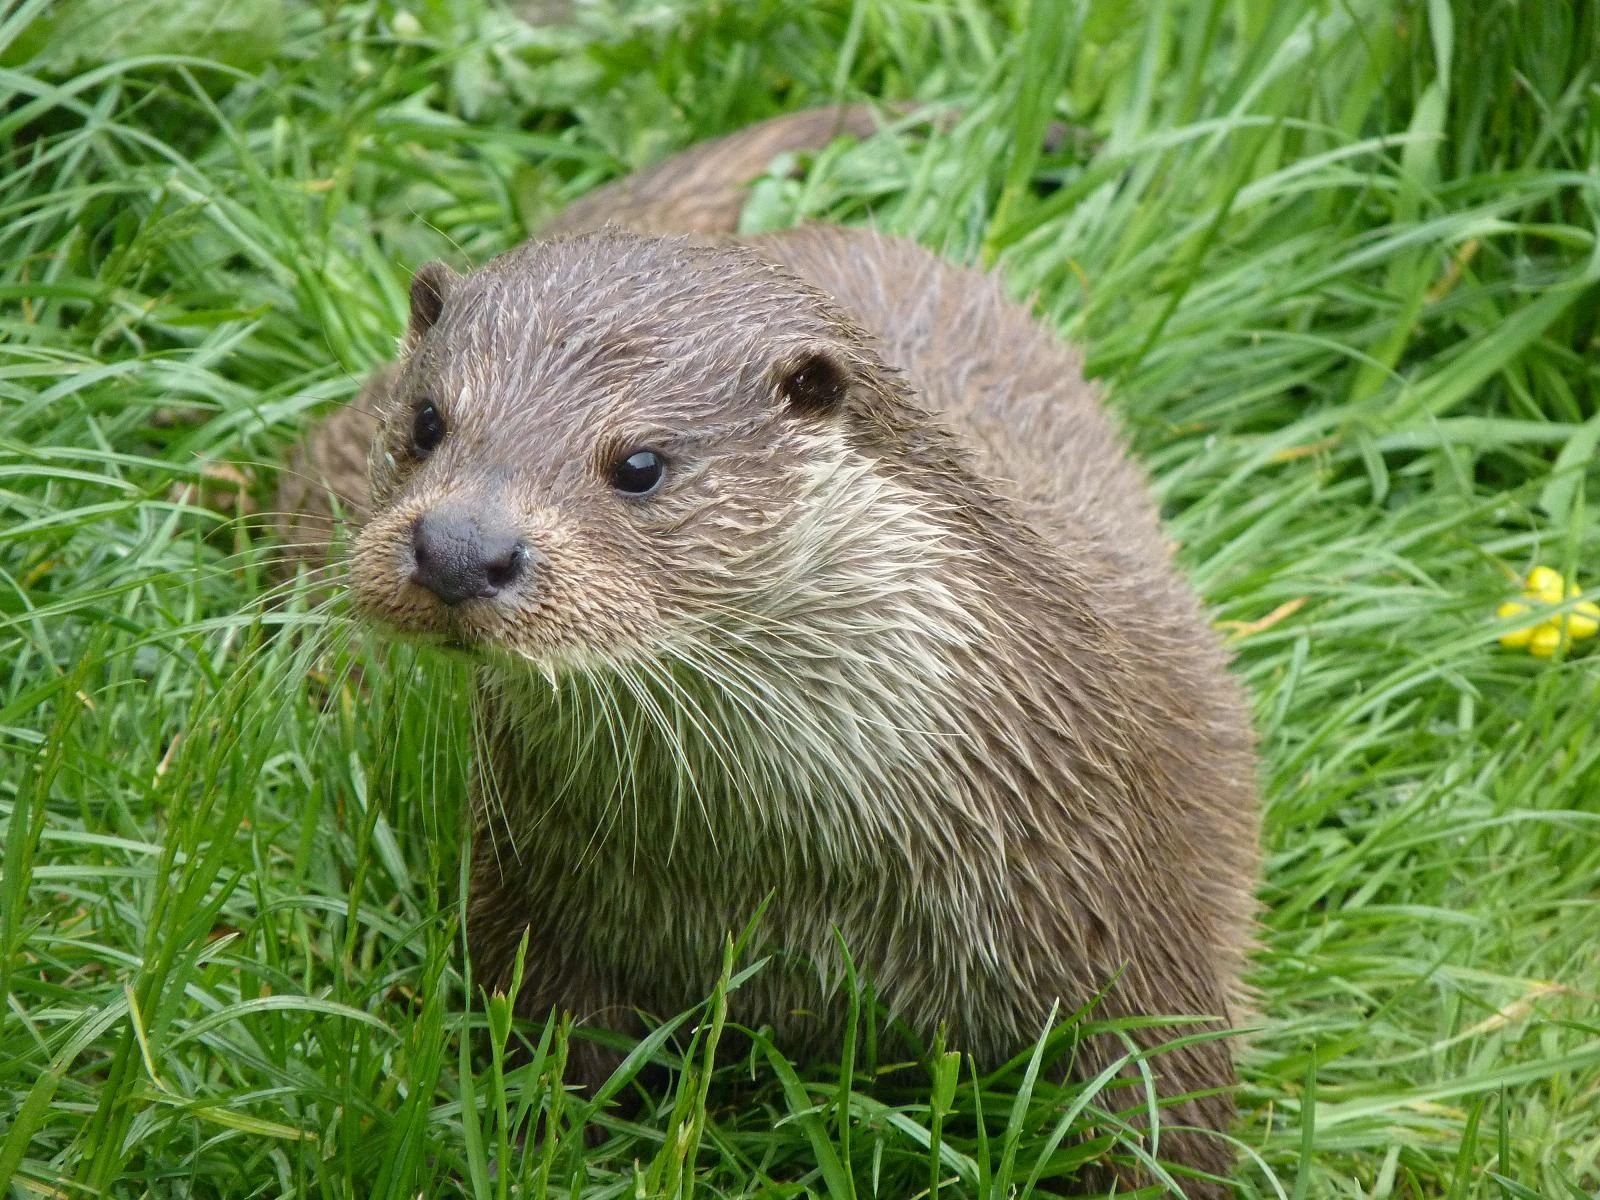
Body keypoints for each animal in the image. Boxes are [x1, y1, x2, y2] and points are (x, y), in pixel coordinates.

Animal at [280, 105, 1260, 1194]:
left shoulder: (1124, 908)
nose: (458, 546)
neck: (788, 872)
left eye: (640, 464)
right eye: (427, 420)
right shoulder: (535, 897)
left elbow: (1167, 1109)